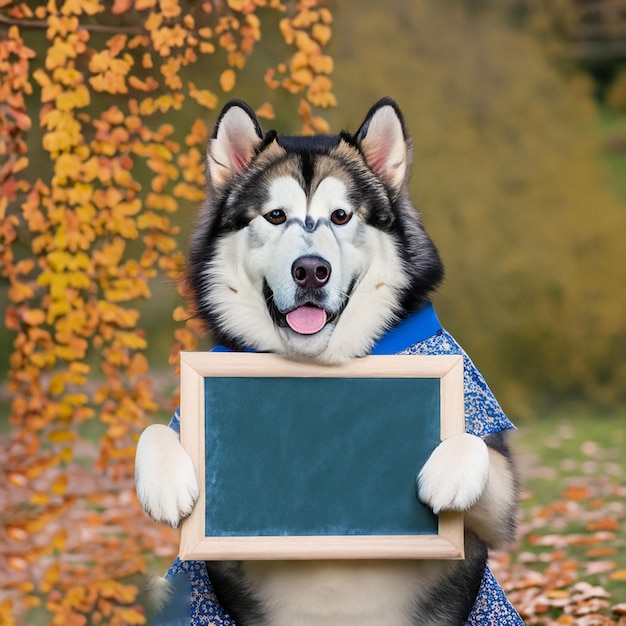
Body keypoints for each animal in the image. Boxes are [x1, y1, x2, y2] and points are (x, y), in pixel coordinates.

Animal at [134, 98, 520, 624]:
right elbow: (156, 429)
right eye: (275, 216)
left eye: (341, 216)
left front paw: (448, 474)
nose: (312, 271)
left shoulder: (497, 509)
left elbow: (479, 448)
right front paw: (165, 484)